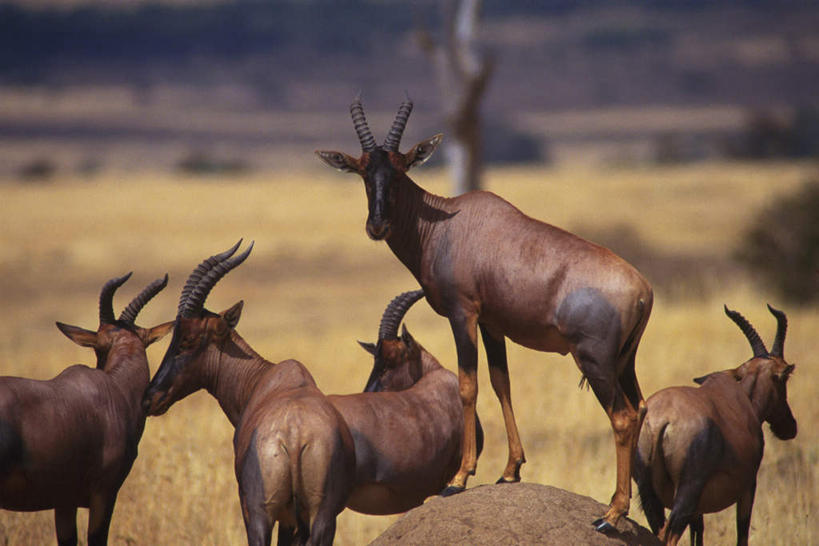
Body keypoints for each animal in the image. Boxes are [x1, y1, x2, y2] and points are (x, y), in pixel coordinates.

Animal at [144, 242, 356, 544]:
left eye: (187, 340)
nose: (149, 398)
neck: (265, 380)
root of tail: (295, 434)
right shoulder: (296, 521)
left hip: (258, 514)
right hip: (323, 518)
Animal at [636, 304, 800, 540]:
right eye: (784, 377)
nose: (790, 427)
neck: (739, 399)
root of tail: (661, 420)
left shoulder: (699, 510)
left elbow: (698, 535)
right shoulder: (748, 487)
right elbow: (742, 533)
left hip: (650, 496)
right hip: (686, 496)